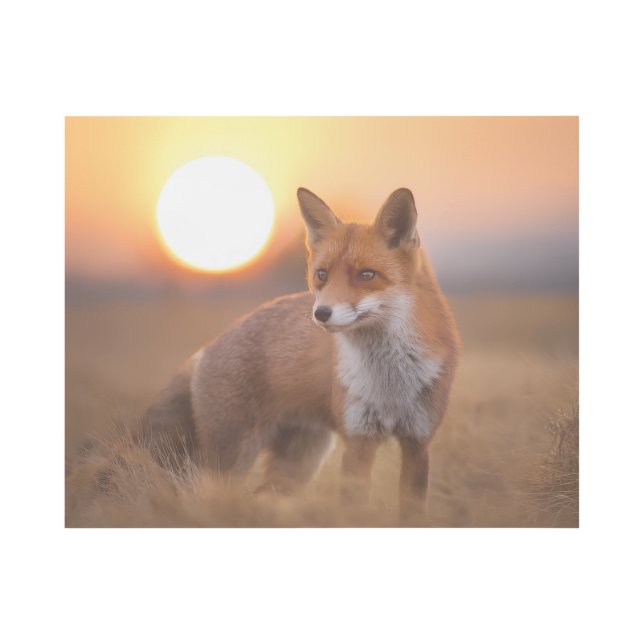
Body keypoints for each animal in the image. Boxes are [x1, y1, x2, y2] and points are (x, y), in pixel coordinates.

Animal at [143, 187, 461, 517]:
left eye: (366, 274)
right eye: (321, 274)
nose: (321, 313)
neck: (389, 384)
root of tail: (207, 347)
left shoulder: (418, 442)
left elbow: (412, 510)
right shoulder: (358, 441)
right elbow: (353, 510)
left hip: (297, 464)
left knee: (260, 495)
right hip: (234, 458)